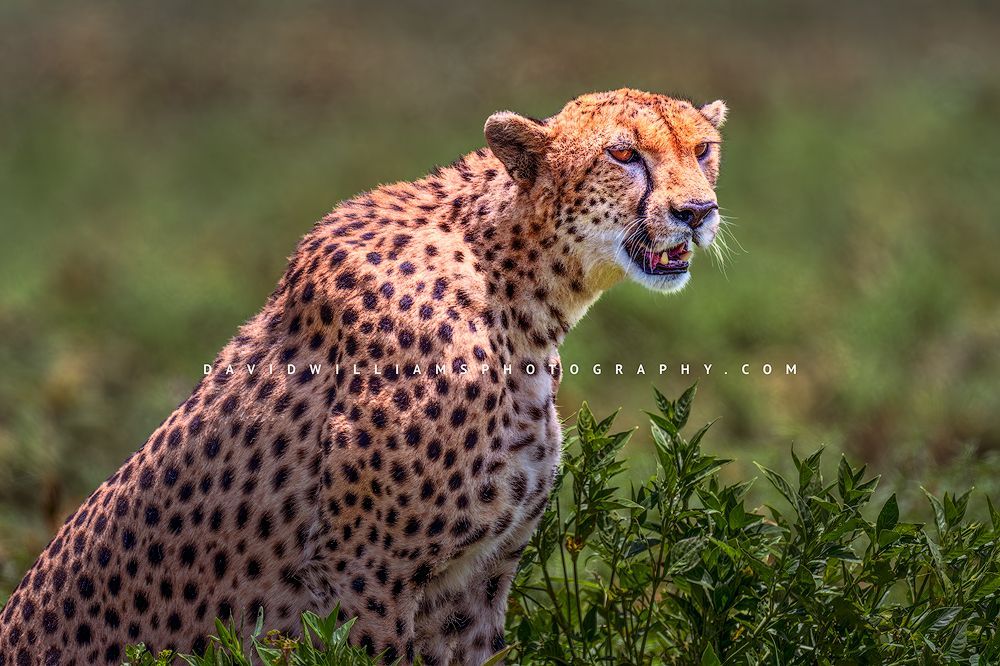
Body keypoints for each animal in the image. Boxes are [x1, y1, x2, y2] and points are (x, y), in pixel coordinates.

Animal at [0, 88, 727, 666]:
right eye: (623, 154)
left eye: (703, 150)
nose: (697, 212)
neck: (518, 287)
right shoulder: (364, 577)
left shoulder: (474, 585)